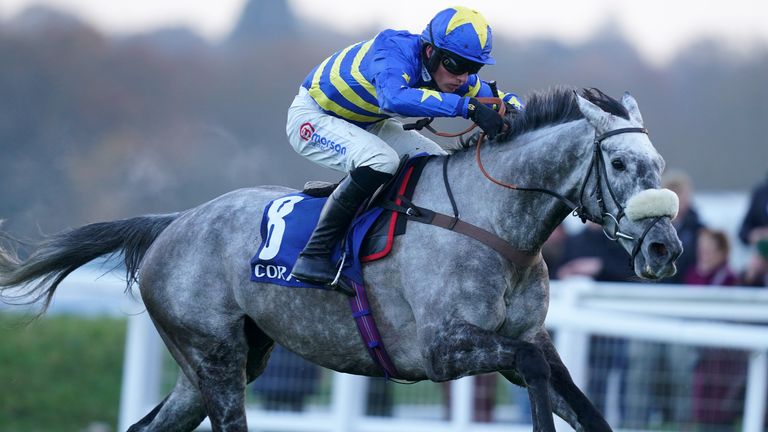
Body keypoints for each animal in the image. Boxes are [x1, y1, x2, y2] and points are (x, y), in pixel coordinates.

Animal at [0, 88, 684, 432]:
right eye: (620, 162)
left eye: (658, 163)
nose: (665, 249)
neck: (495, 224)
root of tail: (174, 223)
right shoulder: (444, 349)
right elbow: (533, 373)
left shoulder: (528, 338)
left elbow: (577, 400)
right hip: (212, 357)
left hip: (219, 363)